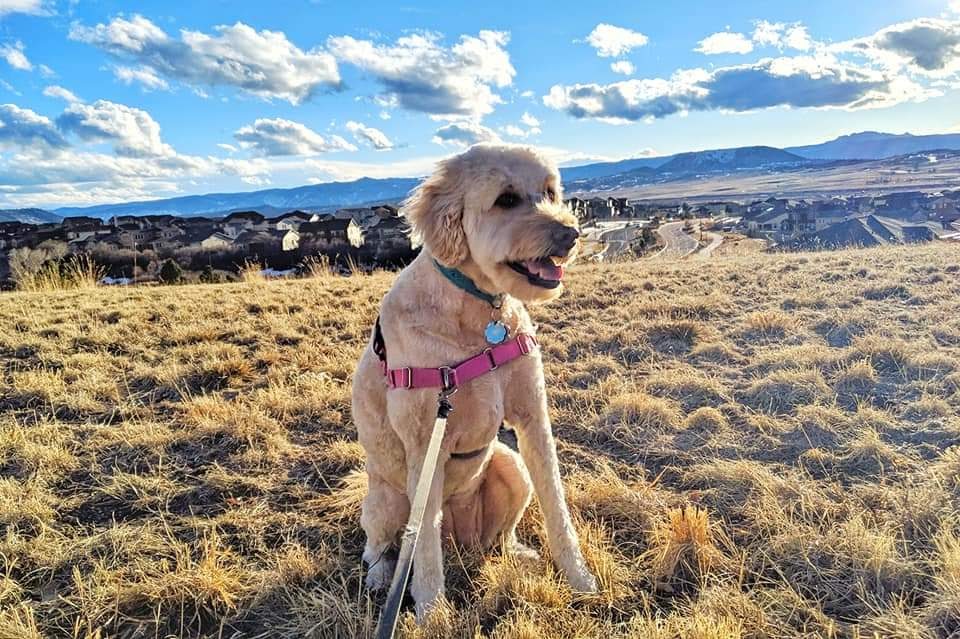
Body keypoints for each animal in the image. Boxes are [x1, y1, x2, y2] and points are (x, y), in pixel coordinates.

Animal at [348, 142, 596, 616]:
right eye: (505, 199)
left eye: (550, 192)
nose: (571, 234)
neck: (478, 313)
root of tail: (458, 539)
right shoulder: (424, 445)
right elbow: (422, 547)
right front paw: (430, 614)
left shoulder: (533, 420)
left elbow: (556, 504)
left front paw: (577, 577)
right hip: (386, 501)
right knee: (382, 547)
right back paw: (381, 577)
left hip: (509, 465)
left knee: (496, 539)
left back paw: (514, 551)